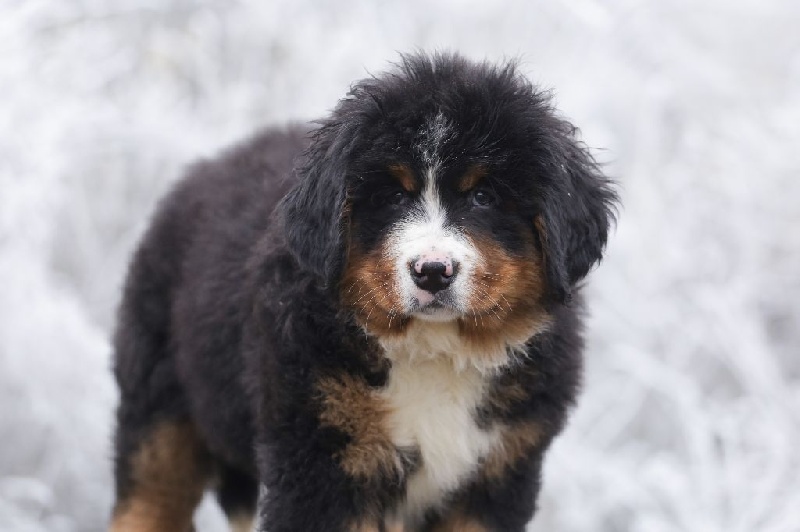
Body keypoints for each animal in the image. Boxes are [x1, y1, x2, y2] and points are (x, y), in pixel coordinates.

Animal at [110, 52, 617, 532]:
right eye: (393, 196)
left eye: (483, 197)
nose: (433, 272)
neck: (433, 350)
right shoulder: (323, 458)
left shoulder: (499, 471)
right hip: (161, 405)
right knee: (150, 496)